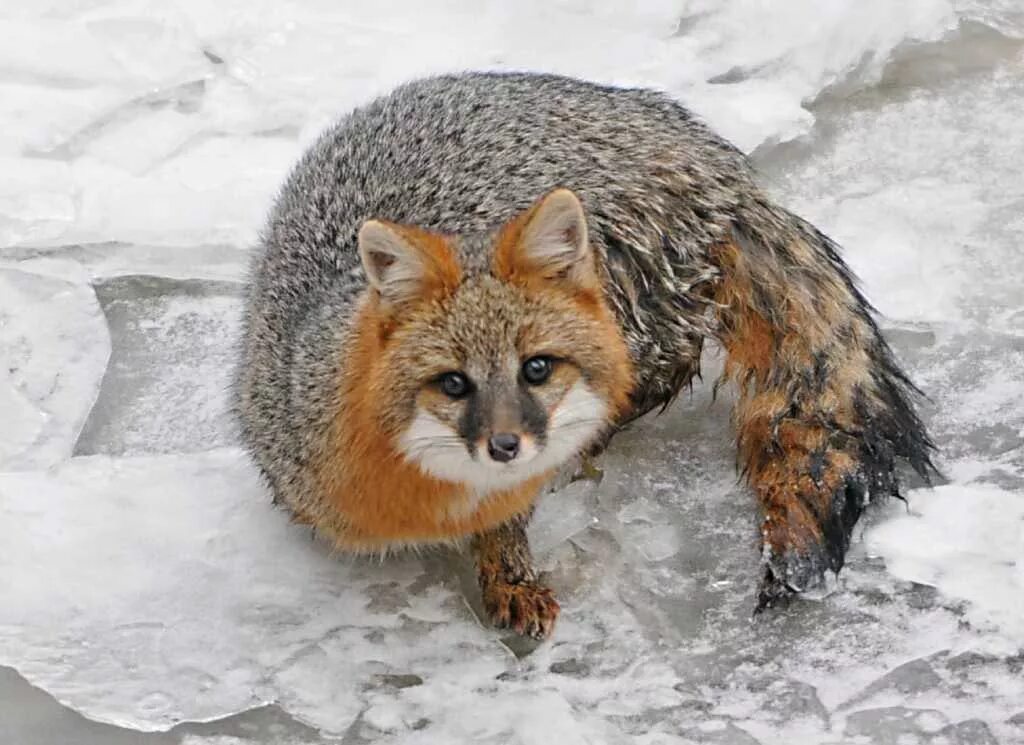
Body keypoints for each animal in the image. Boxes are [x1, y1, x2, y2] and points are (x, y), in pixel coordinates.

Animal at [234, 71, 937, 638]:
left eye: (537, 369)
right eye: (453, 383)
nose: (507, 445)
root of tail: (713, 158)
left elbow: (508, 524)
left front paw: (510, 574)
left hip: (632, 307)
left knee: (664, 369)